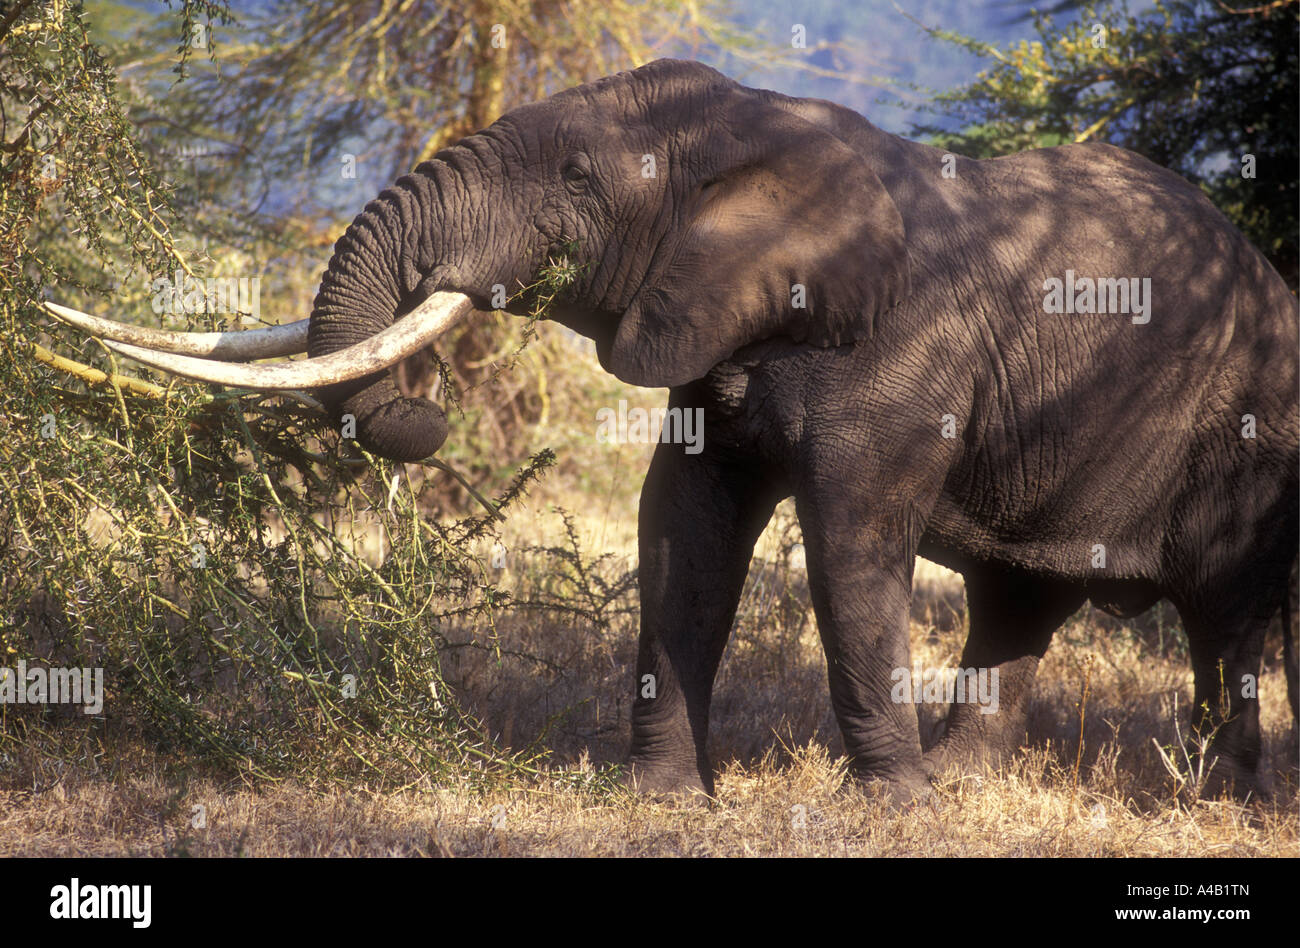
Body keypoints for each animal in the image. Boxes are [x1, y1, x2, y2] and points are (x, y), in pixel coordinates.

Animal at [45, 57, 1294, 801]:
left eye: (576, 175)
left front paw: (884, 813)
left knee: (1224, 615)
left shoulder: (901, 354)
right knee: (1018, 601)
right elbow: (681, 532)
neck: (762, 129)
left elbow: (850, 545)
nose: (421, 420)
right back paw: (971, 785)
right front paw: (663, 801)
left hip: (1251, 433)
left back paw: (1217, 798)